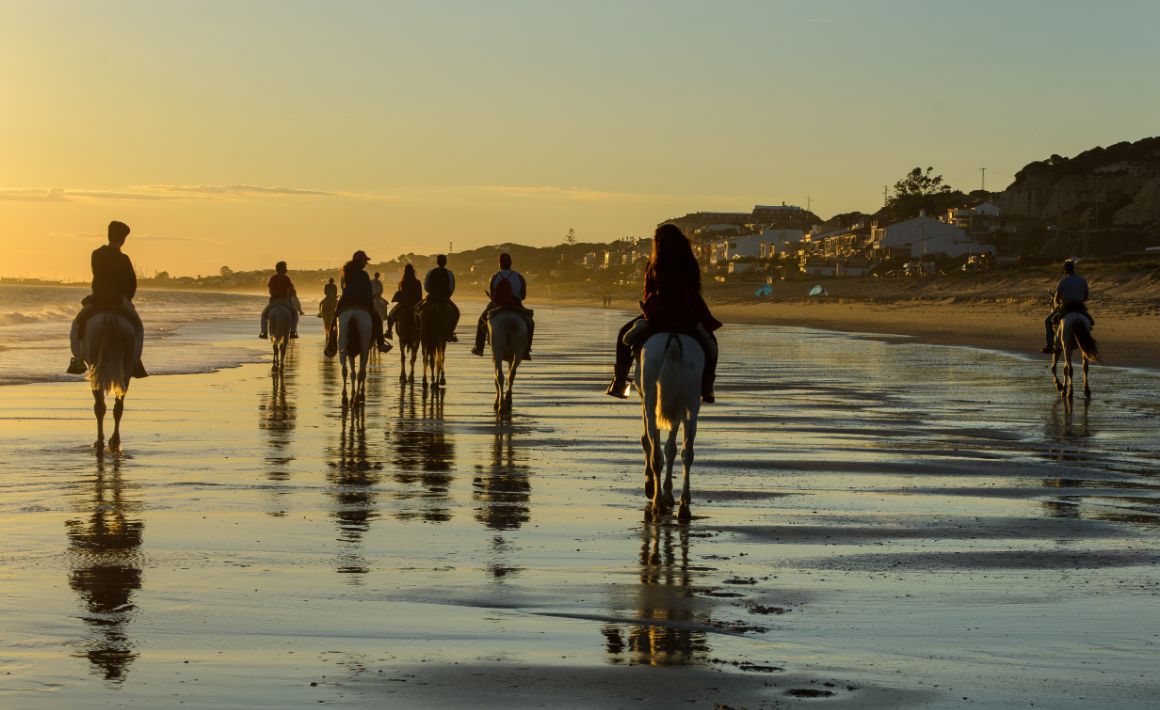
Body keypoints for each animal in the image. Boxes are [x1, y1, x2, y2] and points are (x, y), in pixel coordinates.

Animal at [81, 313, 136, 452]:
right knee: (118, 407)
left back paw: (100, 441)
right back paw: (115, 441)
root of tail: (111, 318)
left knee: (99, 407)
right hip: (126, 369)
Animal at [635, 331, 705, 522]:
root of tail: (673, 340)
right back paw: (684, 507)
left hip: (652, 402)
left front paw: (653, 486)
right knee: (687, 453)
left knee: (656, 454)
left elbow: (650, 442)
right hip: (691, 403)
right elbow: (671, 448)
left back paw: (657, 502)